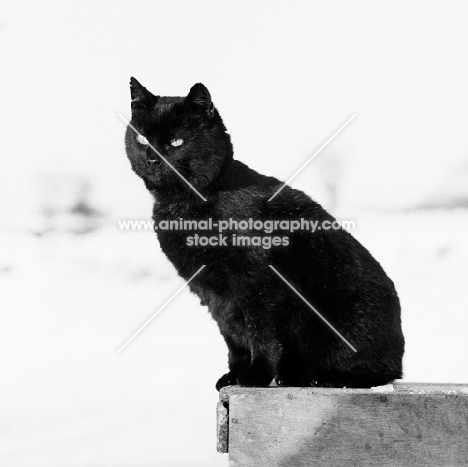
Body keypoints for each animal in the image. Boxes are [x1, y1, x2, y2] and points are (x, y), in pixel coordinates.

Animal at [125, 77, 406, 392]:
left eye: (176, 142)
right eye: (142, 139)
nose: (152, 159)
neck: (188, 206)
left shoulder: (258, 282)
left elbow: (262, 333)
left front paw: (255, 376)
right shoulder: (212, 292)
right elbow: (233, 336)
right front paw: (234, 375)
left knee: (378, 374)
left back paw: (320, 377)